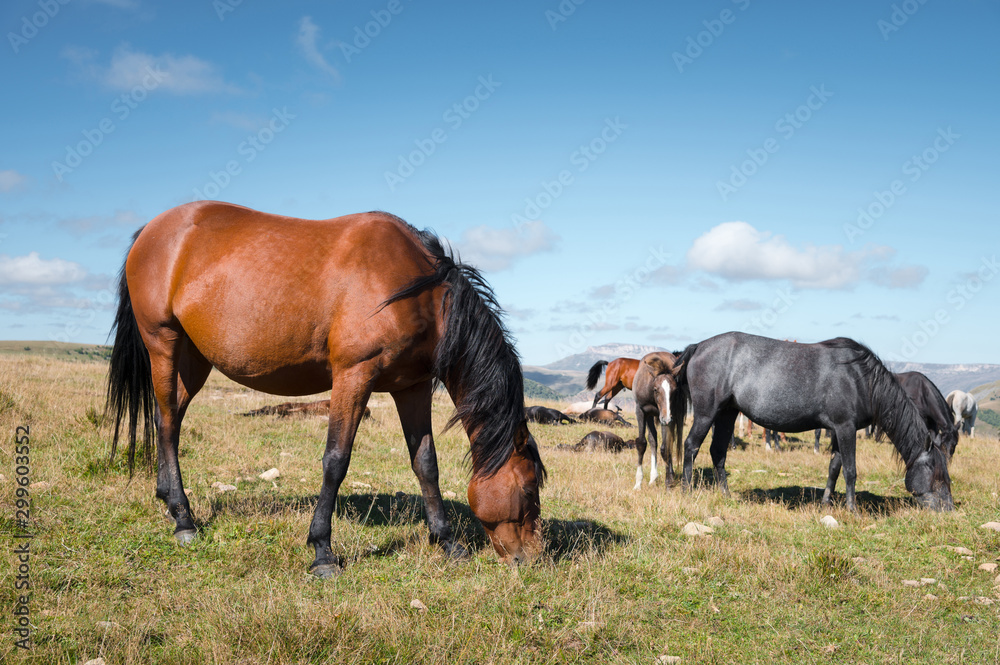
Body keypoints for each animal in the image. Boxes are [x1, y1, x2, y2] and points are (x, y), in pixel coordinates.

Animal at [105, 202, 548, 576]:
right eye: (529, 488)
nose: (530, 558)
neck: (417, 288)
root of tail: (151, 230)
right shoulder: (354, 376)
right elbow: (336, 460)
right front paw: (322, 551)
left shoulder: (413, 387)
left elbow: (426, 463)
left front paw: (447, 542)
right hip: (163, 343)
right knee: (166, 424)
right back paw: (183, 519)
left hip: (194, 358)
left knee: (170, 420)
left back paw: (167, 499)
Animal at [672, 334, 952, 510]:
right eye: (936, 473)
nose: (948, 509)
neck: (861, 378)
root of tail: (698, 346)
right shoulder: (846, 428)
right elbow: (850, 470)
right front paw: (853, 510)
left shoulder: (839, 430)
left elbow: (834, 468)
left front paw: (826, 503)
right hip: (707, 413)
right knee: (691, 446)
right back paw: (686, 492)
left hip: (727, 413)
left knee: (718, 451)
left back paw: (726, 495)